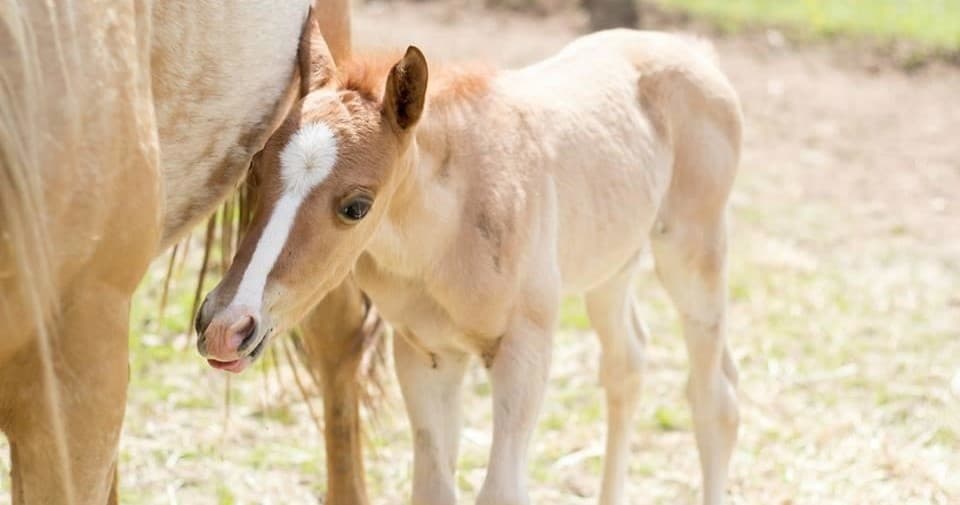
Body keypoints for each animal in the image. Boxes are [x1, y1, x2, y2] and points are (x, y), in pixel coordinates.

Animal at [196, 28, 743, 505]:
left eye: (356, 206)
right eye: (255, 173)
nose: (225, 327)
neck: (445, 235)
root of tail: (693, 51)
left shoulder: (525, 348)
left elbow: (500, 491)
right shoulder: (425, 352)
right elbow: (433, 490)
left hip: (694, 251)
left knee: (715, 400)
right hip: (612, 265)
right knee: (626, 366)